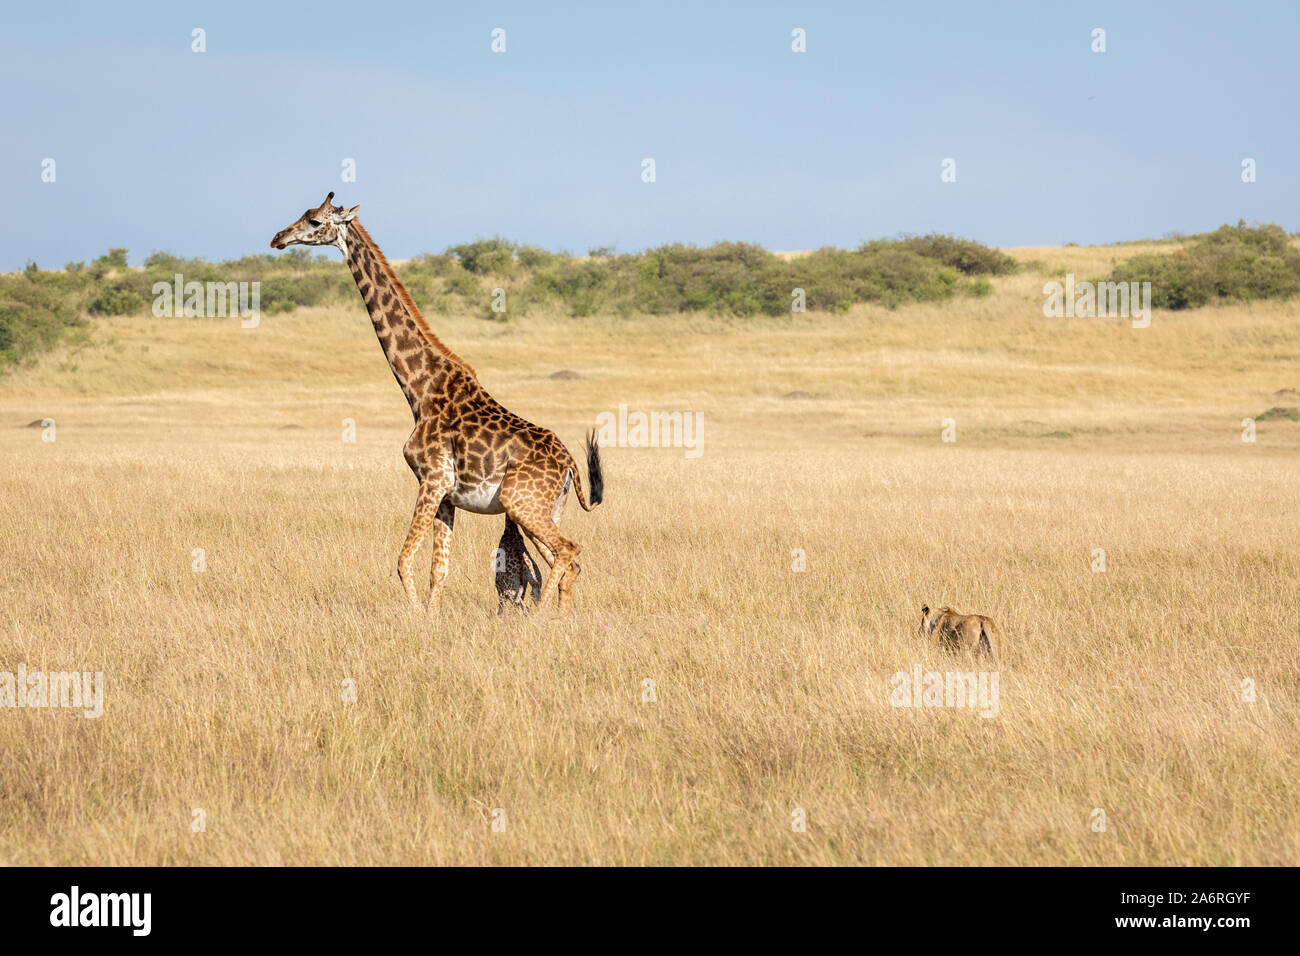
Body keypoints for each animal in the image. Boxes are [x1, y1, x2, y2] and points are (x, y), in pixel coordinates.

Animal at [271, 195, 605, 613]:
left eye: (315, 221)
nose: (278, 238)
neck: (419, 389)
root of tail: (570, 465)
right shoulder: (447, 494)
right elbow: (438, 570)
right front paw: (430, 618)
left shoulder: (432, 480)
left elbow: (403, 560)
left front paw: (414, 615)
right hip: (544, 507)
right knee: (568, 560)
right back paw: (560, 619)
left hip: (519, 501)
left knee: (567, 551)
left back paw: (540, 619)